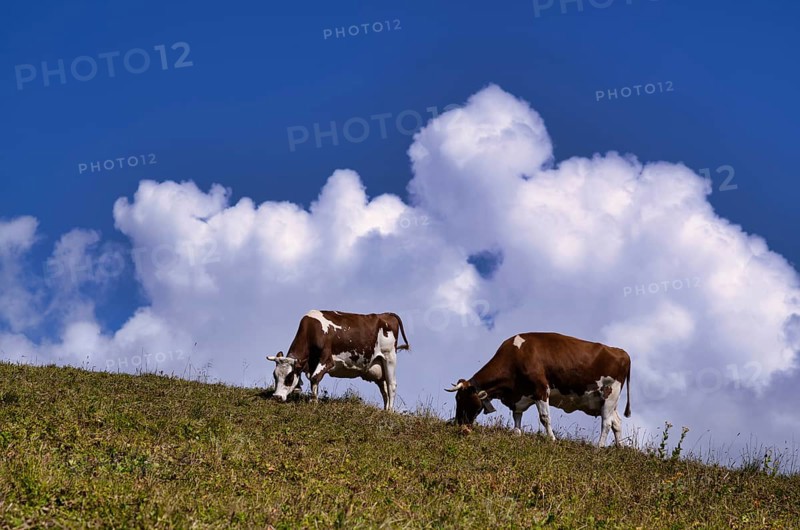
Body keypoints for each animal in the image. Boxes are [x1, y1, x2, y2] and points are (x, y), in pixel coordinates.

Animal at [267, 310, 410, 410]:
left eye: (290, 377)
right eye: (275, 376)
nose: (277, 397)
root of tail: (386, 314)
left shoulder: (326, 359)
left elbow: (314, 377)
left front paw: (313, 401)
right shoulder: (312, 364)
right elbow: (313, 380)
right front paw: (314, 399)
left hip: (389, 357)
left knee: (391, 385)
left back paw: (390, 411)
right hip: (378, 367)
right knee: (384, 388)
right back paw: (385, 410)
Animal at [446, 332, 631, 447]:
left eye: (461, 399)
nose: (458, 423)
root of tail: (622, 352)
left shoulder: (541, 389)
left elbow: (544, 418)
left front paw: (552, 439)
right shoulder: (519, 396)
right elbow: (517, 417)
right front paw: (517, 433)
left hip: (610, 393)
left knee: (606, 423)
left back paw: (599, 447)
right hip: (605, 400)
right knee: (616, 422)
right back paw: (619, 448)